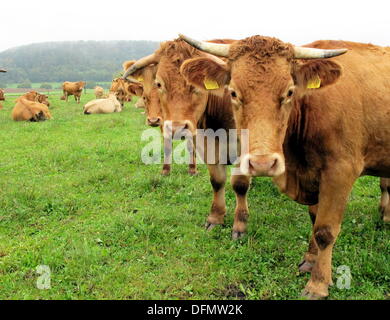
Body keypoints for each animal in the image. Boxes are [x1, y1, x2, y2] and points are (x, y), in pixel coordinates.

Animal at [122, 37, 253, 239]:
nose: (177, 128)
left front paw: (239, 226)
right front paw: (215, 218)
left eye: (195, 85)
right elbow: (217, 180)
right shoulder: (204, 143)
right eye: (159, 84)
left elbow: (239, 183)